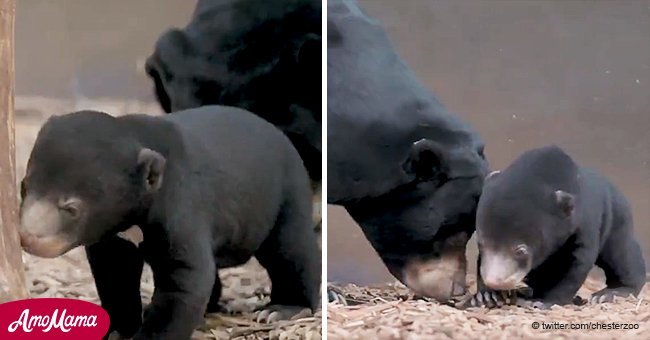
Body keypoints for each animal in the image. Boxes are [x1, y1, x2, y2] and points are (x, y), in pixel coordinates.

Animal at [19, 105, 322, 338]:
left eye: (71, 208)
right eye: (23, 187)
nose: (27, 237)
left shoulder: (180, 208)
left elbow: (185, 280)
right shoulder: (113, 237)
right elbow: (115, 274)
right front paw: (118, 329)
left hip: (286, 195)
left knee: (290, 251)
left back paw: (281, 309)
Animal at [468, 145, 644, 308]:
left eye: (520, 251)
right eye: (481, 244)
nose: (494, 281)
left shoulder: (583, 226)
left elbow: (575, 267)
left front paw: (544, 302)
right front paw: (488, 296)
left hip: (618, 221)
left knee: (622, 256)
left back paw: (610, 293)